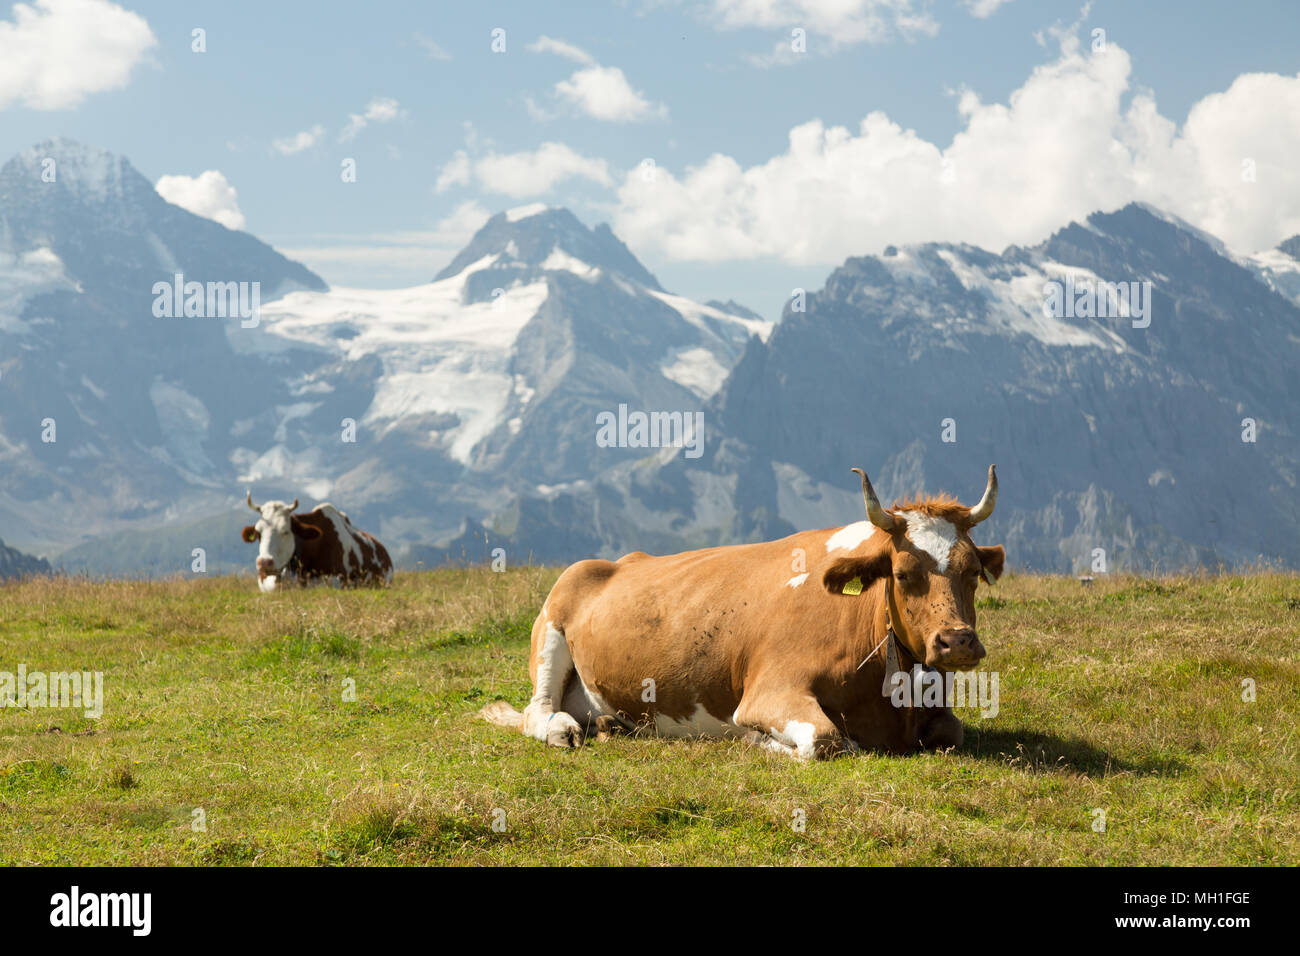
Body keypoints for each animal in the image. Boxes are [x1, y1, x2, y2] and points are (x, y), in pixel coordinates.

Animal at [486, 468, 1003, 759]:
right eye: (901, 572)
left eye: (973, 571)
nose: (956, 641)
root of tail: (614, 561)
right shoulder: (769, 692)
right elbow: (828, 740)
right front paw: (752, 741)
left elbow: (952, 731)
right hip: (552, 624)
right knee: (537, 710)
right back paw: (562, 731)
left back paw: (610, 725)